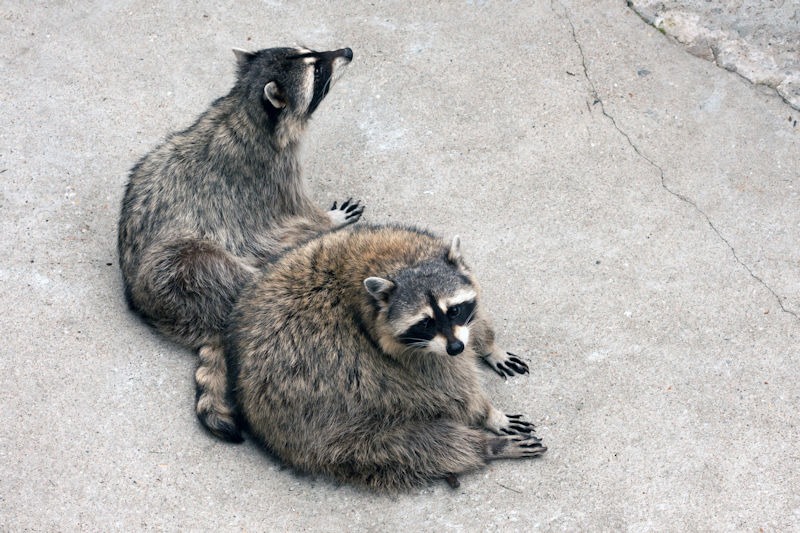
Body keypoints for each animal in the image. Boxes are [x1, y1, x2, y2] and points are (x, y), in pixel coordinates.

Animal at [118, 46, 361, 442]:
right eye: (318, 71)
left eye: (312, 52)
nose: (348, 52)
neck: (245, 106)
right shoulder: (273, 176)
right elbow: (298, 214)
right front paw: (329, 219)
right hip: (182, 270)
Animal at [225, 224, 546, 491]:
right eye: (425, 323)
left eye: (454, 310)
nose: (456, 348)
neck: (399, 262)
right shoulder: (406, 357)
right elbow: (454, 389)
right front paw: (489, 414)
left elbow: (475, 322)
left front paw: (490, 346)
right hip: (329, 430)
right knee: (417, 445)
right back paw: (486, 447)